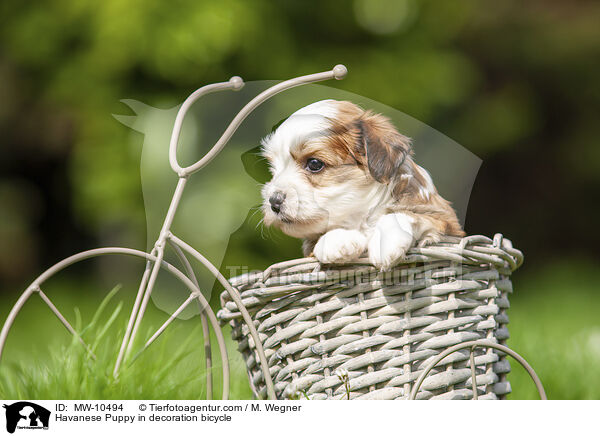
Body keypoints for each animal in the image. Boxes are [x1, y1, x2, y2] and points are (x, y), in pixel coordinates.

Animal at [260, 100, 462, 270]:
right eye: (273, 169)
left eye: (314, 164)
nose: (274, 201)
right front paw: (336, 241)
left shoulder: (447, 222)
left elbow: (408, 214)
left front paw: (385, 242)